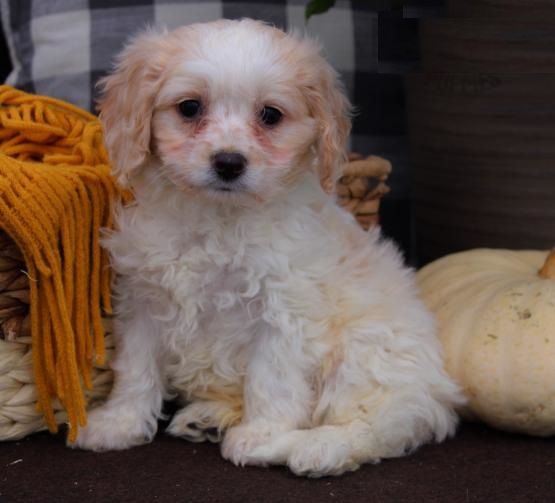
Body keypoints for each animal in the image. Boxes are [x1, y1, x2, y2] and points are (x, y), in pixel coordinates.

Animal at [74, 18, 464, 476]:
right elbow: (135, 369)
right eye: (190, 108)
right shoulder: (144, 301)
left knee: (377, 424)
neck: (217, 218)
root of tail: (436, 392)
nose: (228, 162)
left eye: (270, 115)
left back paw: (312, 448)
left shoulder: (282, 313)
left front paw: (262, 435)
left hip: (366, 354)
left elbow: (272, 380)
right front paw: (119, 423)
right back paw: (207, 418)